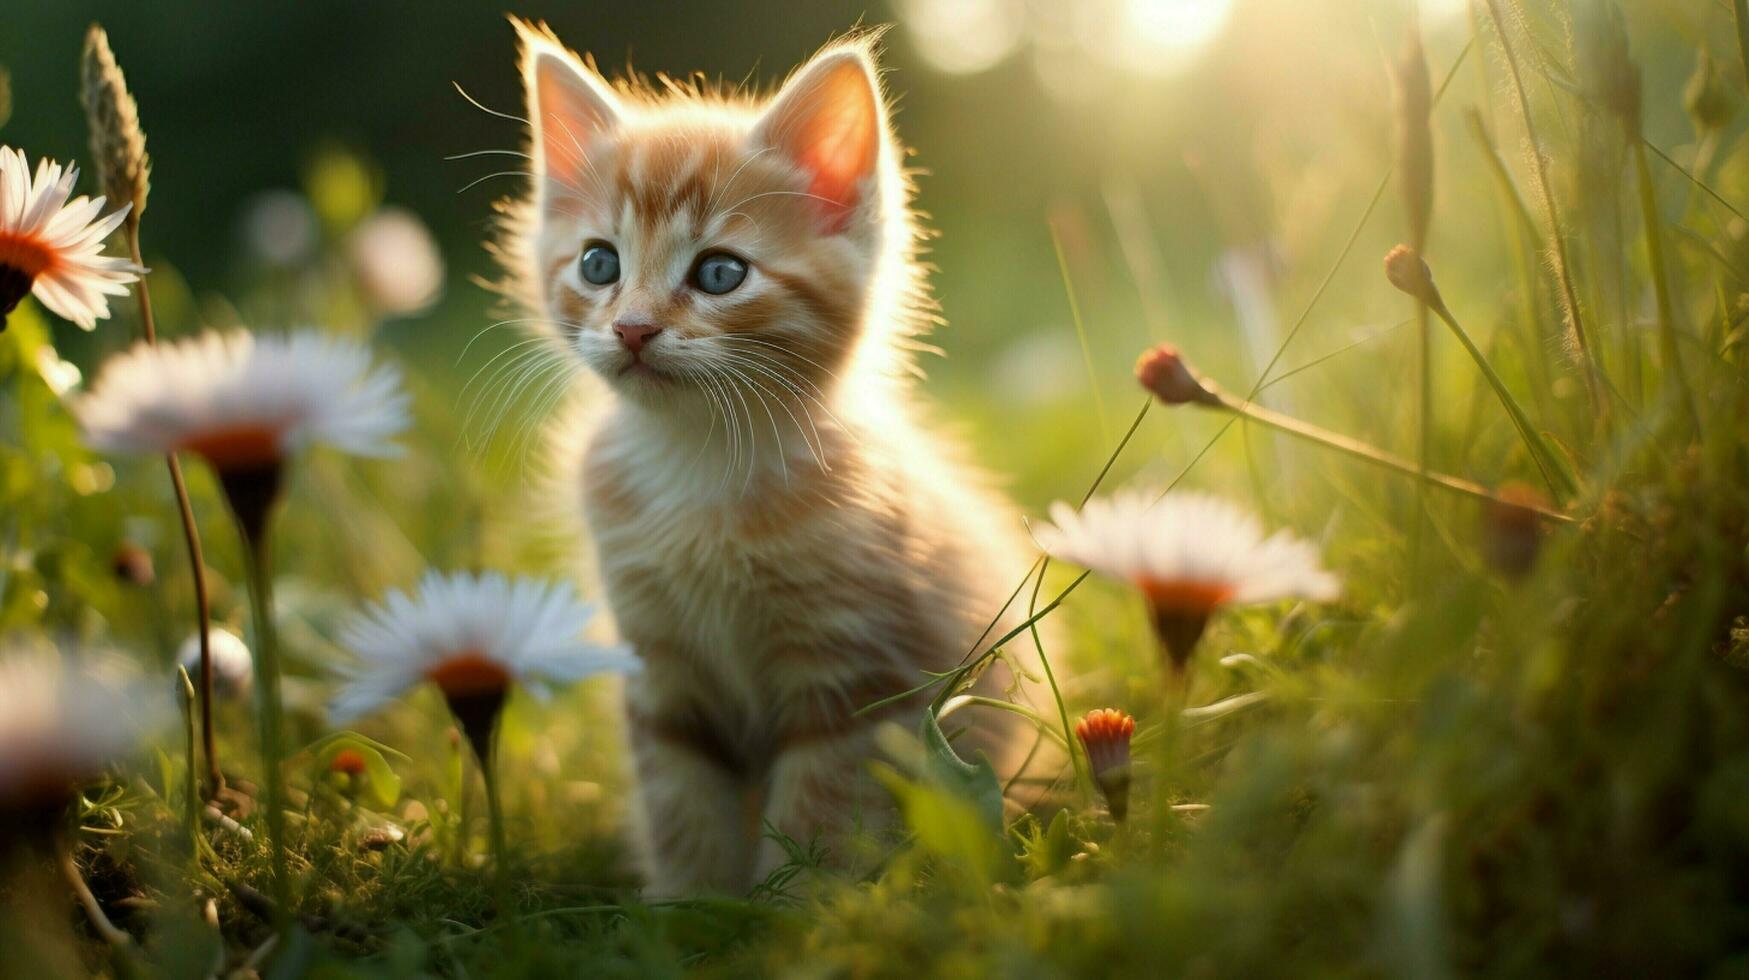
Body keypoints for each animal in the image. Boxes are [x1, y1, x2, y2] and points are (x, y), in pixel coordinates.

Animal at [507, 22, 1049, 896]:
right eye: (598, 263)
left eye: (719, 273)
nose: (631, 327)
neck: (698, 460)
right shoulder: (658, 668)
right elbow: (682, 806)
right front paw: (689, 909)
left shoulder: (855, 677)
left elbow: (817, 814)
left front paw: (791, 912)